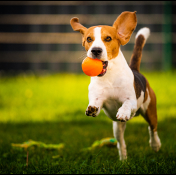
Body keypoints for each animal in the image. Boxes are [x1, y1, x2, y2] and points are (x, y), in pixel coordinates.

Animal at [70, 10, 161, 161]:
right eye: (89, 39)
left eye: (108, 38)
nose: (95, 50)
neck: (109, 76)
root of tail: (136, 70)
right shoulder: (98, 97)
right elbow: (95, 104)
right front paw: (92, 108)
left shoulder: (131, 100)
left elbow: (126, 104)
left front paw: (123, 112)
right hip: (117, 127)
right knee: (121, 142)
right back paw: (123, 159)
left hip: (149, 110)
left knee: (152, 129)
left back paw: (155, 145)